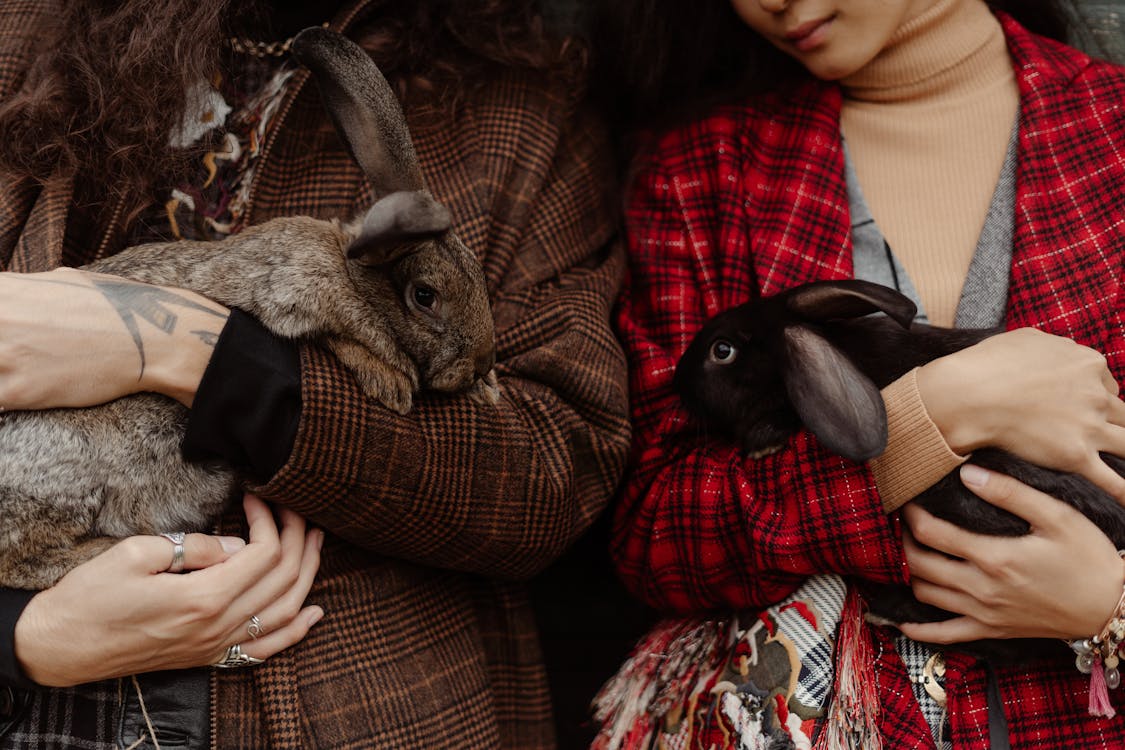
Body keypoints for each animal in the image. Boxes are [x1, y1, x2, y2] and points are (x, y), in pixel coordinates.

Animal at [0, 27, 497, 593]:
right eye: (425, 296)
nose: (482, 362)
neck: (353, 272)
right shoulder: (289, 291)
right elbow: (338, 335)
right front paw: (392, 383)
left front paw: (485, 390)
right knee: (22, 560)